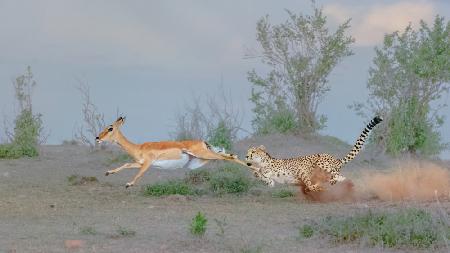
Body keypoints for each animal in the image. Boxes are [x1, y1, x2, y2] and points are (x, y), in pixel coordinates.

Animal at [244, 116, 382, 192]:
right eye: (248, 152)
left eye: (253, 151)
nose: (246, 156)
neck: (264, 163)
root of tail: (335, 159)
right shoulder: (268, 177)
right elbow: (264, 178)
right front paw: (260, 176)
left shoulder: (299, 170)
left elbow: (307, 182)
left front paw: (313, 188)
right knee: (338, 177)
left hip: (321, 162)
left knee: (337, 174)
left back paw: (335, 180)